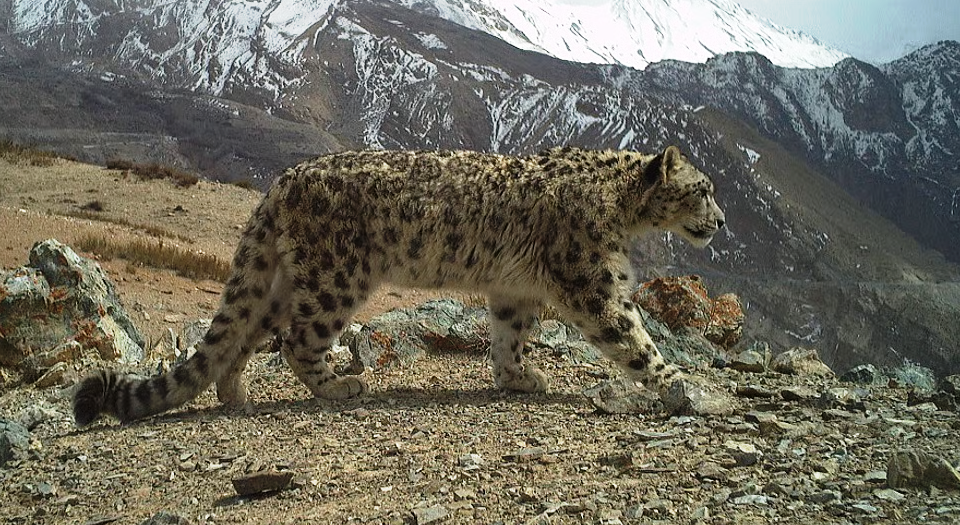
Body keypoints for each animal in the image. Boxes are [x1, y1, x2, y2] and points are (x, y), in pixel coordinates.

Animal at [73, 145, 725, 426]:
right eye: (702, 189)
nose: (721, 222)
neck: (623, 211)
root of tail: (282, 181)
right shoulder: (593, 284)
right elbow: (634, 337)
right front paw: (679, 384)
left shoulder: (515, 290)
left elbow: (509, 337)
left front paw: (519, 378)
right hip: (336, 277)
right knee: (299, 340)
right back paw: (340, 386)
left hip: (283, 280)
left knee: (247, 332)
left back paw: (237, 393)